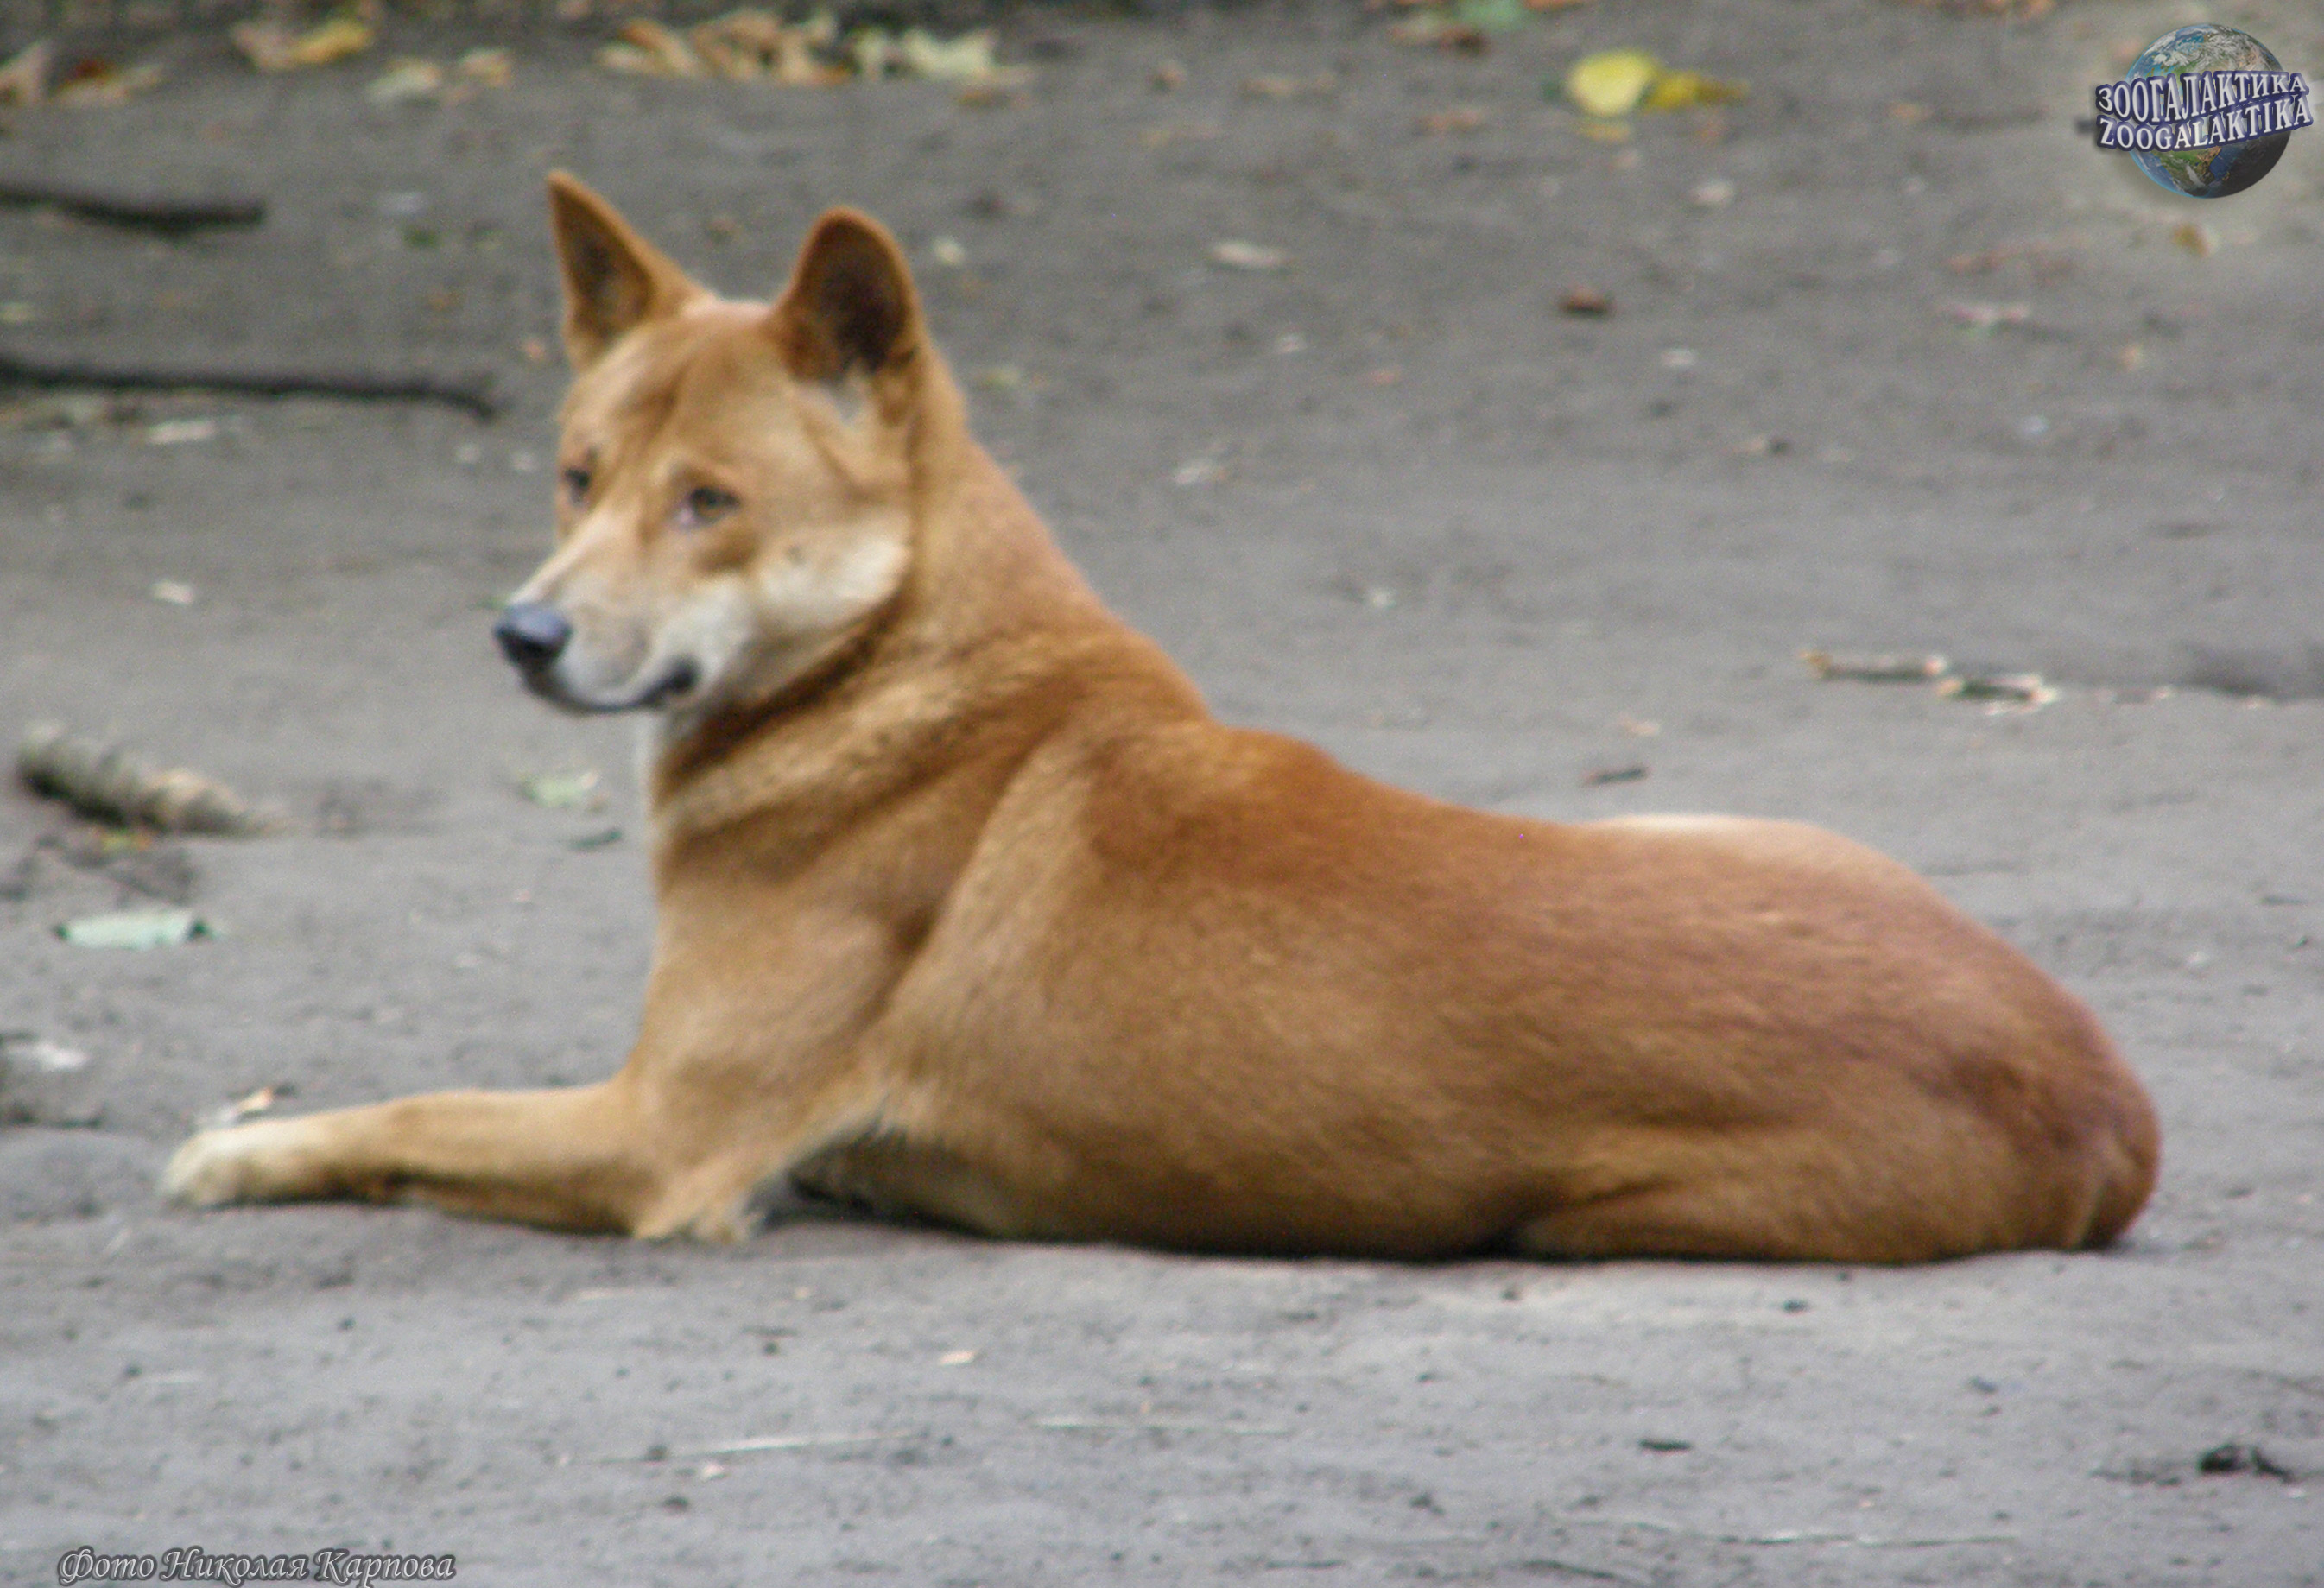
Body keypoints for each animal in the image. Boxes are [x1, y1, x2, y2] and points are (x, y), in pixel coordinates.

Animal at [164, 175, 2159, 1261]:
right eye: (577, 475)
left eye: (707, 502)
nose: (519, 633)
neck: (906, 678)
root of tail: (2103, 1094)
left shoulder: (658, 1136)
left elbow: (408, 1108)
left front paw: (243, 1146)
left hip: (1593, 1208)